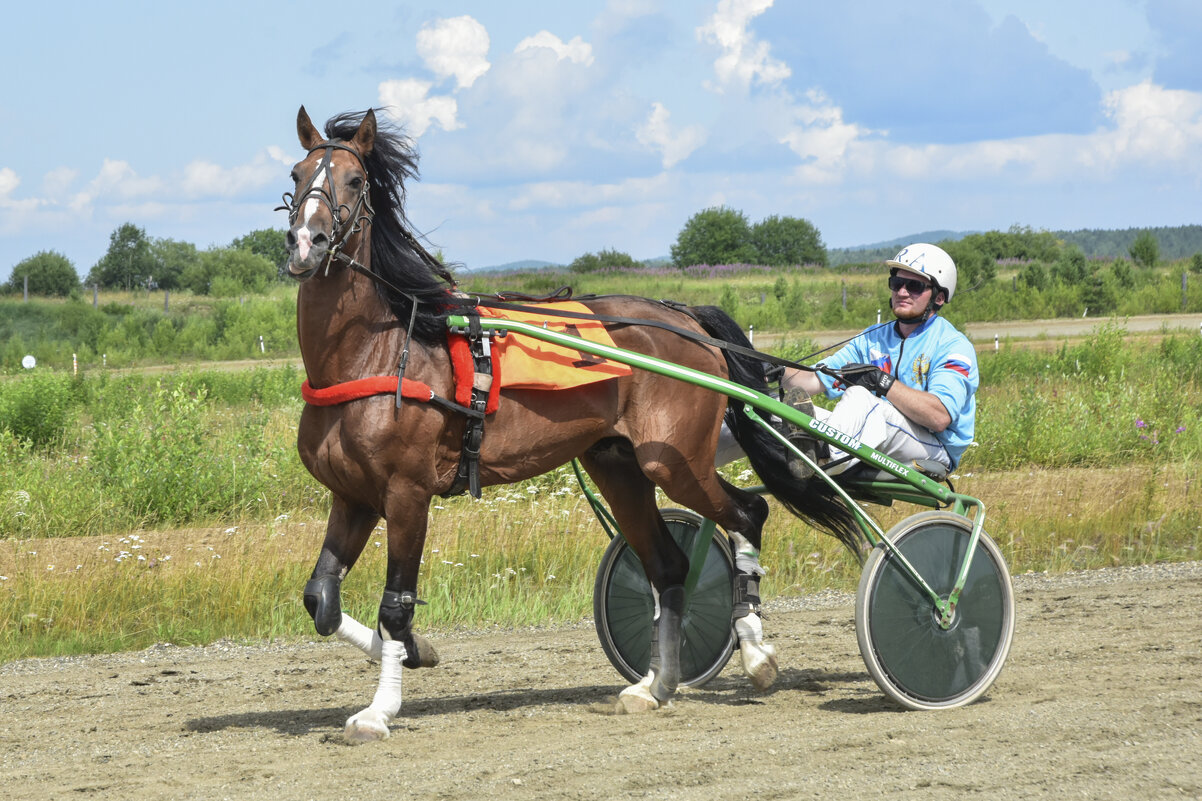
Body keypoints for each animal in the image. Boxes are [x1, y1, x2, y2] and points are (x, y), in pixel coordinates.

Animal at [281, 105, 865, 740]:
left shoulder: (407, 494)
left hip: (673, 461)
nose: (306, 243)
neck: (378, 353)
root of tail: (686, 318)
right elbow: (320, 600)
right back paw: (654, 687)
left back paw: (756, 654)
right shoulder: (354, 495)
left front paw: (379, 708)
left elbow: (394, 603)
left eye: (354, 180)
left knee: (747, 513)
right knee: (669, 565)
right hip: (618, 465)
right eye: (296, 174)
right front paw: (419, 650)